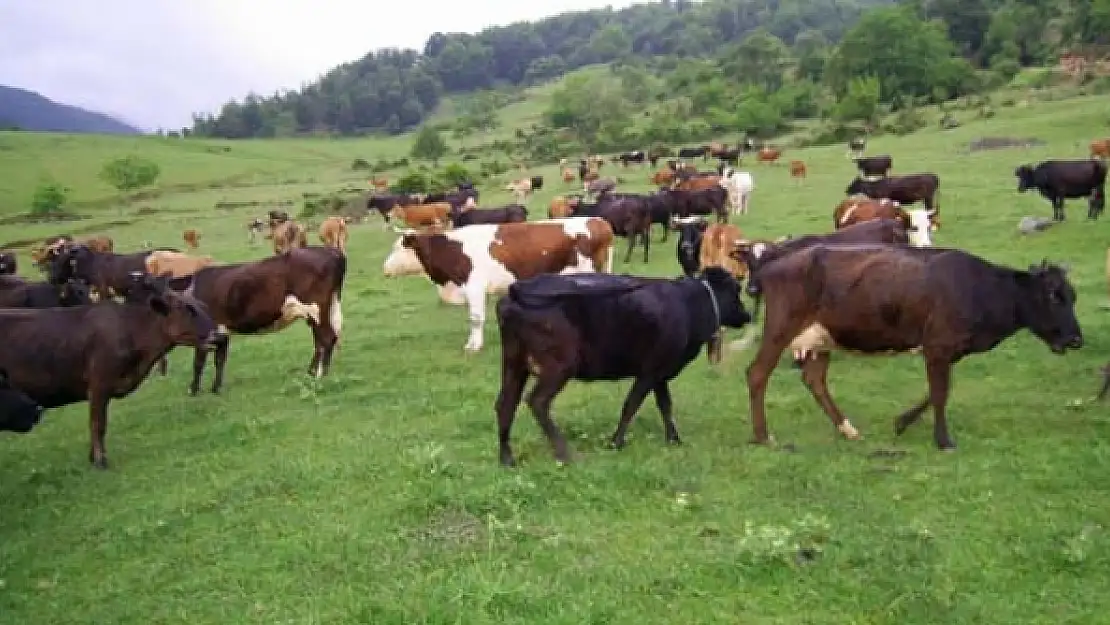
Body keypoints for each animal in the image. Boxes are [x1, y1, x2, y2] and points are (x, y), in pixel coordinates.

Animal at [0, 275, 223, 470]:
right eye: (188, 310)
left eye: (204, 307)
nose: (218, 336)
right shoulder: (99, 385)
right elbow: (98, 424)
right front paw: (100, 461)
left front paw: (93, 458)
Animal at [381, 216, 617, 353]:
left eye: (397, 248)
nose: (384, 269)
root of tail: (600, 221)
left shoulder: (474, 286)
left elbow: (476, 318)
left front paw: (473, 346)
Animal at [495, 266, 754, 466]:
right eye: (735, 290)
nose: (748, 314)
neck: (688, 304)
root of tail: (517, 290)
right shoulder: (650, 371)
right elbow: (631, 405)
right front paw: (615, 442)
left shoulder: (660, 373)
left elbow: (665, 406)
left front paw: (674, 440)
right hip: (559, 366)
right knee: (537, 402)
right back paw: (566, 454)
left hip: (514, 364)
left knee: (506, 403)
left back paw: (507, 458)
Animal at [741, 244, 1078, 450]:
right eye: (1053, 296)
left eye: (1072, 296)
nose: (1076, 339)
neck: (980, 289)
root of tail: (772, 266)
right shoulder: (939, 346)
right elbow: (940, 394)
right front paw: (943, 441)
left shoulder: (944, 349)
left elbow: (938, 391)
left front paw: (902, 422)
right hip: (781, 327)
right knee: (757, 373)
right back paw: (763, 436)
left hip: (822, 338)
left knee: (814, 379)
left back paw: (847, 429)